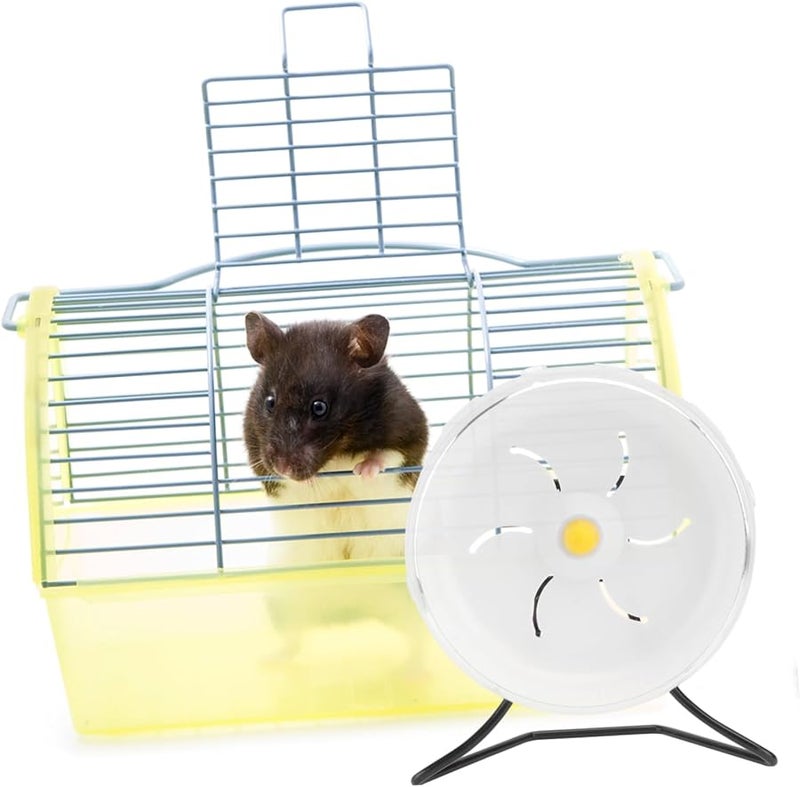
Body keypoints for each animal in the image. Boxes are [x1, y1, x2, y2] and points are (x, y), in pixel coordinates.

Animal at [243, 312, 429, 566]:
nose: (283, 467)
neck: (335, 454)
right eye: (270, 402)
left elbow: (388, 454)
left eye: (319, 407)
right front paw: (308, 481)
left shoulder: (410, 430)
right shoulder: (257, 451)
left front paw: (362, 471)